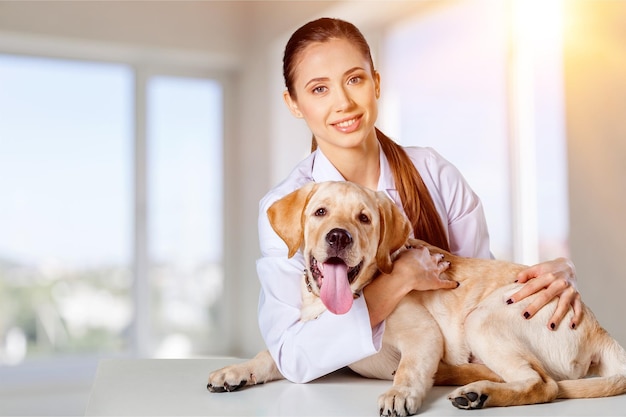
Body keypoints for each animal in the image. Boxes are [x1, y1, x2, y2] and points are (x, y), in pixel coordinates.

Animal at [208, 180, 624, 414]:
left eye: (364, 218)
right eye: (320, 212)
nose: (339, 236)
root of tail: (600, 330)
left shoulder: (422, 334)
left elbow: (409, 368)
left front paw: (399, 394)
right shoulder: (306, 347)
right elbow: (270, 354)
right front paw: (234, 371)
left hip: (483, 317)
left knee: (544, 384)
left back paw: (478, 393)